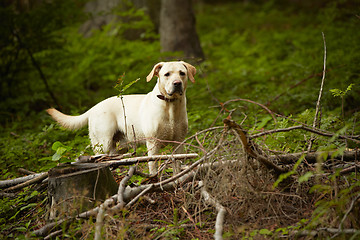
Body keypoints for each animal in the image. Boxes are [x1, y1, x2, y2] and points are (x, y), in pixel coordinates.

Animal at [47, 61, 195, 174]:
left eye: (182, 73)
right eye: (167, 74)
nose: (177, 83)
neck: (171, 106)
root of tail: (93, 108)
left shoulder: (179, 142)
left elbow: (177, 165)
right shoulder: (153, 143)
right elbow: (153, 166)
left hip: (119, 148)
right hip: (103, 143)